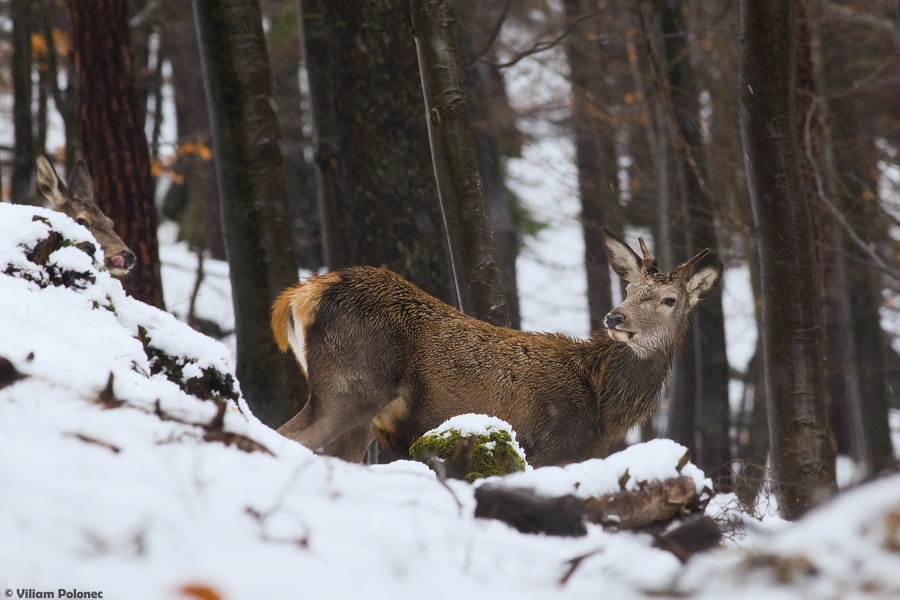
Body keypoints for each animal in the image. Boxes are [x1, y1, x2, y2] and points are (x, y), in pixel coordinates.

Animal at [268, 231, 724, 468]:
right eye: (629, 289)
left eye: (669, 299)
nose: (615, 317)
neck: (601, 405)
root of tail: (300, 295)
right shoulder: (550, 449)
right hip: (352, 385)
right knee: (286, 435)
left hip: (362, 414)